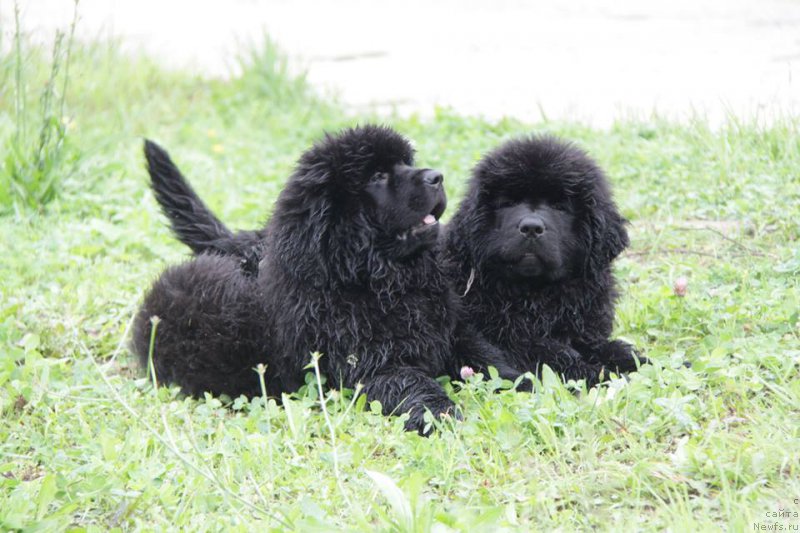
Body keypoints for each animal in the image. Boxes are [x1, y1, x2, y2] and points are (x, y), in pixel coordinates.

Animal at [133, 124, 520, 432]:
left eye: (406, 162)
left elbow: (489, 359)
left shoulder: (451, 332)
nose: (437, 176)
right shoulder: (374, 367)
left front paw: (525, 382)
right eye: (377, 177)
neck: (376, 280)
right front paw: (440, 415)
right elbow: (414, 385)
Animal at [440, 135, 648, 388]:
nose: (531, 227)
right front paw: (603, 375)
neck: (537, 293)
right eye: (509, 203)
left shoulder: (584, 330)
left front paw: (645, 363)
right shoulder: (511, 340)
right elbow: (557, 355)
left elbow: (610, 348)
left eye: (560, 206)